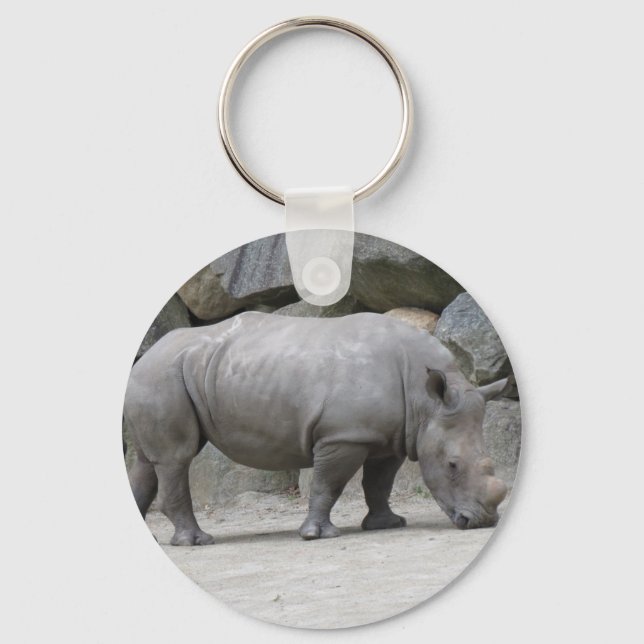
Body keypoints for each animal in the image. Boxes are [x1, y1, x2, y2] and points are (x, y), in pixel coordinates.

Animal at [124, 311, 509, 545]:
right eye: (452, 466)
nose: (481, 521)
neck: (424, 400)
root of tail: (144, 358)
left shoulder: (390, 436)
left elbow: (379, 483)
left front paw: (387, 524)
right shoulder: (344, 436)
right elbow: (330, 483)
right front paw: (319, 535)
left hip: (166, 377)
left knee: (146, 461)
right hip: (162, 377)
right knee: (176, 458)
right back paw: (198, 542)